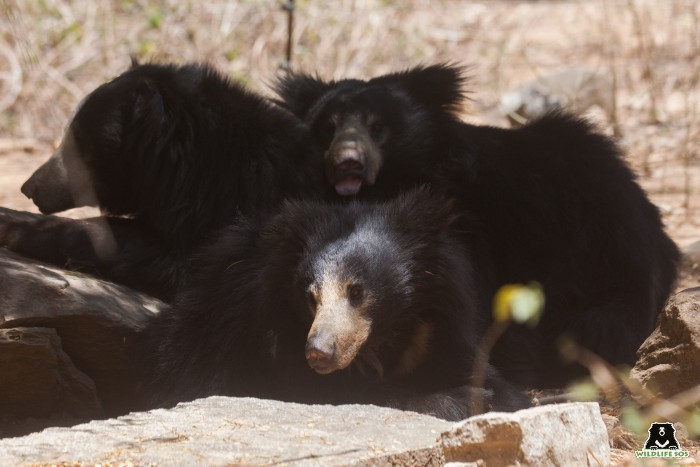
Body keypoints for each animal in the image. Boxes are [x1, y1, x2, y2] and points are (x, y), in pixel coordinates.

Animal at [149, 188, 532, 422]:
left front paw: (495, 396)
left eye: (357, 291)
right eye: (310, 297)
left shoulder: (441, 322)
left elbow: (483, 372)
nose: (318, 352)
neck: (386, 336)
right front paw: (461, 400)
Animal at [276, 65, 680, 388]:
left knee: (601, 323)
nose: (348, 163)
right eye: (328, 127)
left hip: (606, 256)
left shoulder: (473, 227)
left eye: (378, 127)